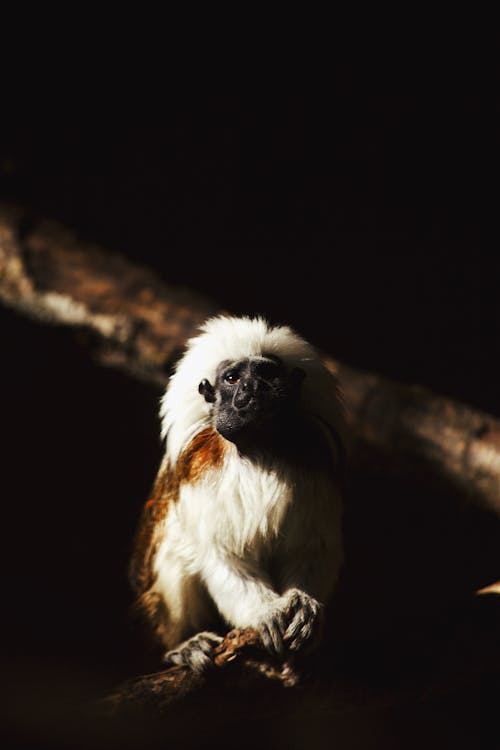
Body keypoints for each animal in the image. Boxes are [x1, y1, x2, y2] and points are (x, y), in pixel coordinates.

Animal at [129, 314, 346, 672]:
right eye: (232, 378)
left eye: (267, 373)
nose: (252, 388)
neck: (258, 449)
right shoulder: (199, 471)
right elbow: (222, 556)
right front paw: (265, 612)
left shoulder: (315, 464)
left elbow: (311, 548)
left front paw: (304, 605)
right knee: (173, 549)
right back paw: (182, 646)